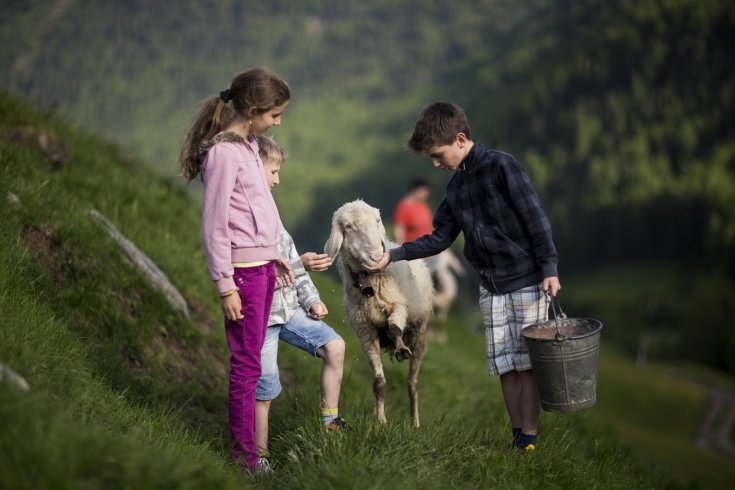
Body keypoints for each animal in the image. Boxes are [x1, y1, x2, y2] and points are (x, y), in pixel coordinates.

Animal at [324, 201, 434, 426]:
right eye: (347, 226)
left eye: (377, 220)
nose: (376, 256)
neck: (369, 282)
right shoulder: (365, 331)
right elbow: (379, 382)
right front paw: (381, 421)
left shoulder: (398, 305)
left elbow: (394, 328)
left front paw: (400, 348)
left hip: (419, 336)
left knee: (412, 383)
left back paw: (415, 423)